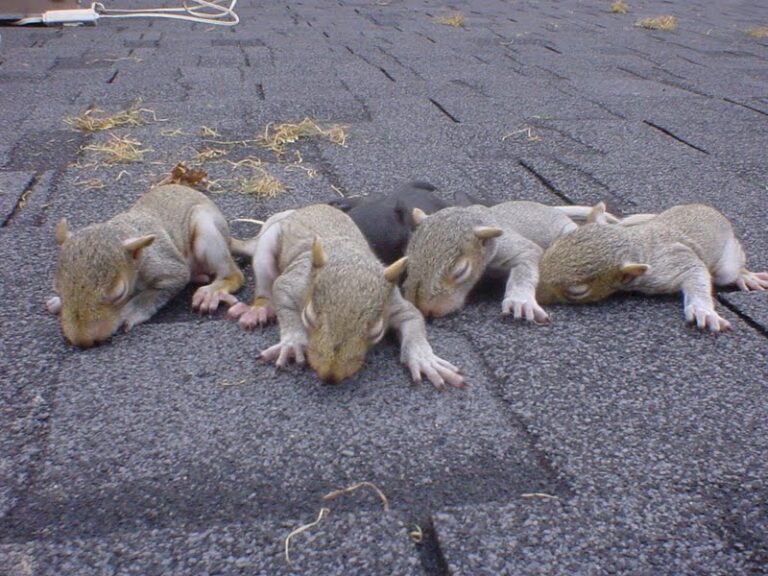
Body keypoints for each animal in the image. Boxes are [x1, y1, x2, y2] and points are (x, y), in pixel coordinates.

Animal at [47, 184, 245, 347]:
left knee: (233, 275)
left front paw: (129, 312)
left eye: (119, 294)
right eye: (58, 289)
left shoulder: (162, 265)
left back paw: (211, 292)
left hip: (206, 229)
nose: (83, 341)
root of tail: (228, 237)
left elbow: (157, 292)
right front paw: (57, 303)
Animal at [226, 204, 466, 388]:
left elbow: (413, 318)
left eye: (377, 331)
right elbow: (281, 293)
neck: (349, 259)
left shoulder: (393, 302)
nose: (330, 376)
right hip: (268, 244)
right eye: (309, 317)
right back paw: (258, 310)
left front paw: (424, 359)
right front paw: (293, 342)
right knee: (266, 285)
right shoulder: (295, 283)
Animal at [401, 200, 606, 323]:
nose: (424, 309)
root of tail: (549, 208)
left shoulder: (508, 244)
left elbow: (527, 258)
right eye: (408, 262)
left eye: (461, 271)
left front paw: (520, 300)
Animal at [536, 203, 768, 332]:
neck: (635, 244)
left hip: (727, 263)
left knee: (732, 270)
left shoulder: (670, 264)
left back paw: (746, 277)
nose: (536, 294)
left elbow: (696, 271)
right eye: (553, 246)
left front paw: (703, 310)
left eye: (578, 291)